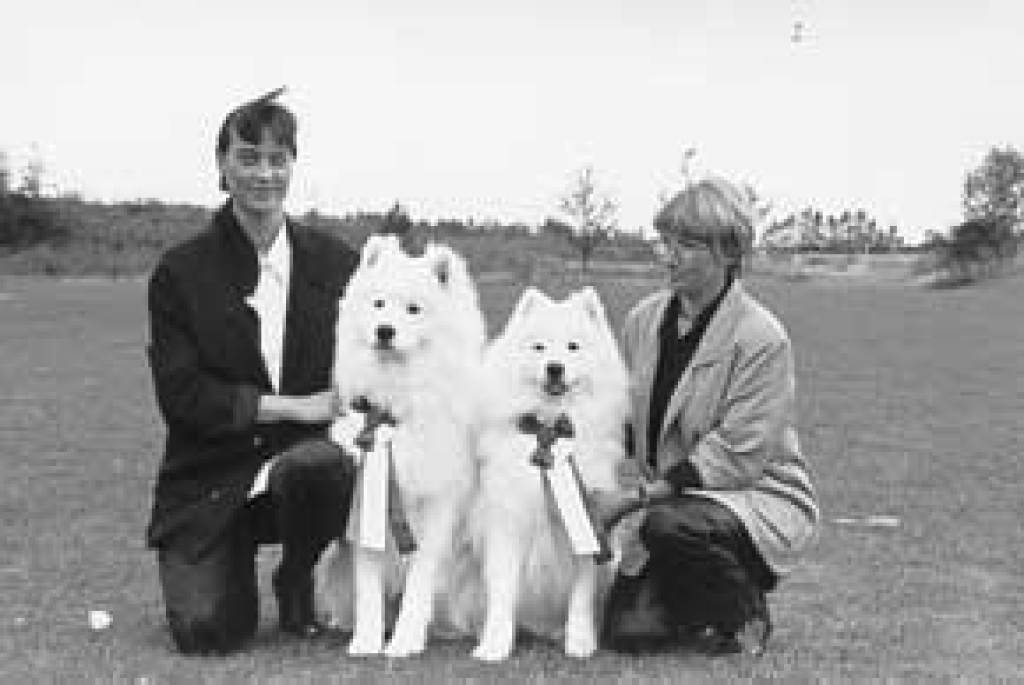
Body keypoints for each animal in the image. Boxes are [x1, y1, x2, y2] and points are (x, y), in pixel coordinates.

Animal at [317, 234, 485, 657]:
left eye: (413, 309)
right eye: (378, 303)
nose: (384, 331)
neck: (395, 406)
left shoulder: (437, 504)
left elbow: (420, 580)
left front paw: (406, 639)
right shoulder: (366, 498)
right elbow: (368, 584)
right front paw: (366, 640)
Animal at [465, 286, 630, 661]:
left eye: (573, 346)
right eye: (539, 347)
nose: (555, 368)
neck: (550, 427)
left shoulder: (588, 519)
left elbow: (581, 594)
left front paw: (580, 641)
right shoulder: (507, 520)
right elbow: (503, 589)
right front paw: (494, 645)